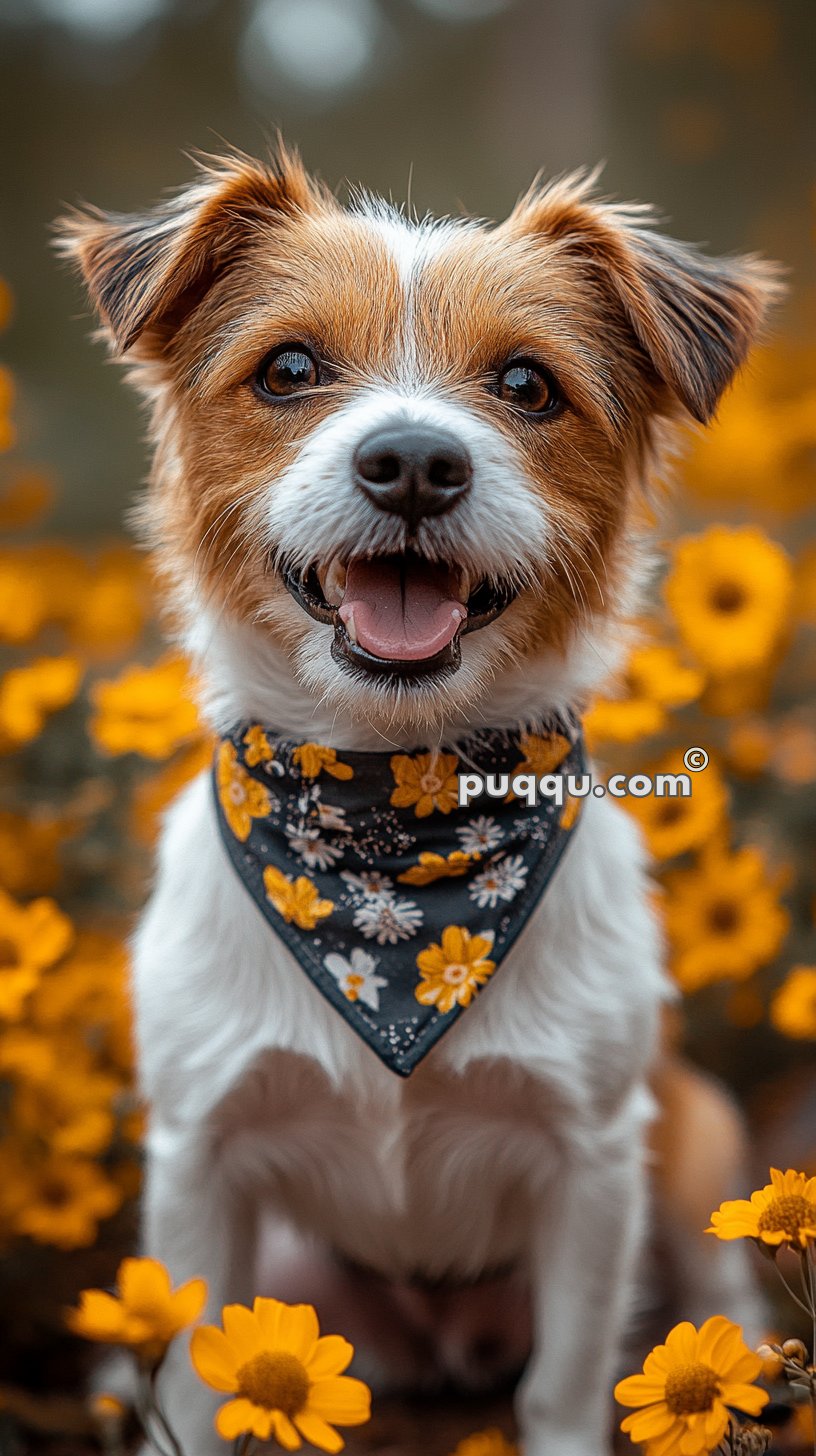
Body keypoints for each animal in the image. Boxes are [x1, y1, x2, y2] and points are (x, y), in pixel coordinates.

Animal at [59, 150, 775, 1456]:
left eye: (528, 383)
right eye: (288, 369)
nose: (413, 463)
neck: (395, 849)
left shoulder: (593, 1165)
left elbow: (564, 1385)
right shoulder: (199, 1157)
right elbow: (190, 1375)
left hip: (696, 1133)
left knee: (716, 1277)